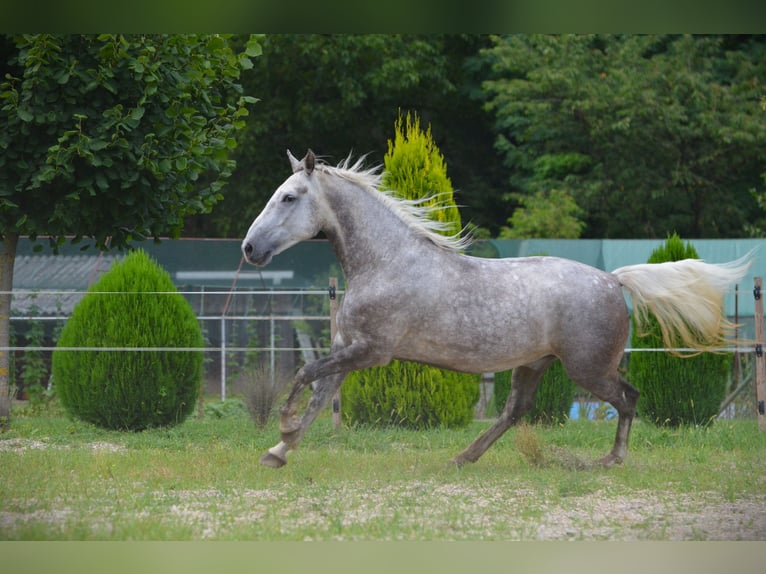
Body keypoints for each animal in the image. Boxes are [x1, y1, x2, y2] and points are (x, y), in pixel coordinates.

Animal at [243, 151, 752, 470]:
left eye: (289, 196)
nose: (249, 248)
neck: (386, 262)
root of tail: (613, 280)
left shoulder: (371, 352)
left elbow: (304, 376)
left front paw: (281, 428)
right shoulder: (349, 350)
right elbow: (317, 395)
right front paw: (279, 451)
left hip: (587, 368)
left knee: (628, 398)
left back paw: (610, 460)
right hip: (535, 364)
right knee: (515, 410)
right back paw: (462, 458)